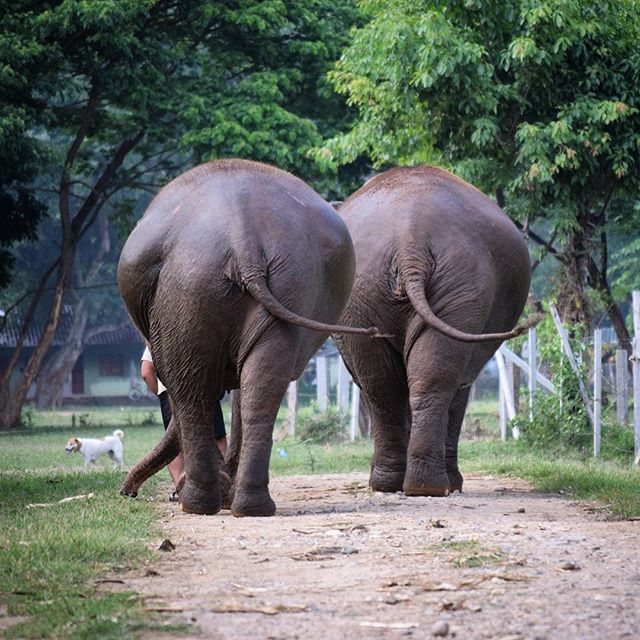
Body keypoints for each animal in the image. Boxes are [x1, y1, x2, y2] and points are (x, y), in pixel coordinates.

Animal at [117, 160, 378, 516]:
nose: (127, 493)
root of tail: (243, 235)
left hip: (186, 287)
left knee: (188, 391)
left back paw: (197, 504)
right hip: (285, 282)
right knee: (259, 387)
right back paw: (250, 505)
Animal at [336, 164, 536, 496]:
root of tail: (410, 239)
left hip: (414, 284)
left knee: (387, 385)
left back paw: (408, 486)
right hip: (438, 283)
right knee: (407, 384)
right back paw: (419, 486)